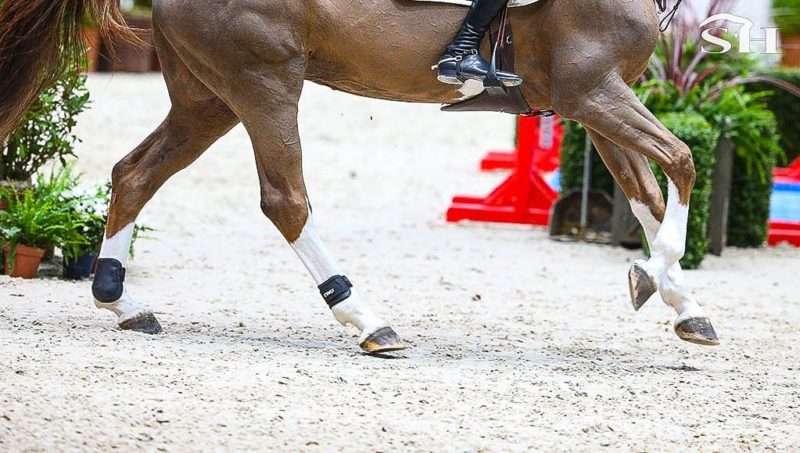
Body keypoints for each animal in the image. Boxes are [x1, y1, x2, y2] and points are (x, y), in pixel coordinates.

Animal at [0, 0, 718, 353]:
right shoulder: (592, 90)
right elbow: (681, 163)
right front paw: (652, 279)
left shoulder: (591, 101)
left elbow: (649, 195)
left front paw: (682, 303)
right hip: (263, 81)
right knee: (285, 200)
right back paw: (367, 320)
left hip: (208, 98)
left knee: (134, 174)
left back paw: (122, 300)